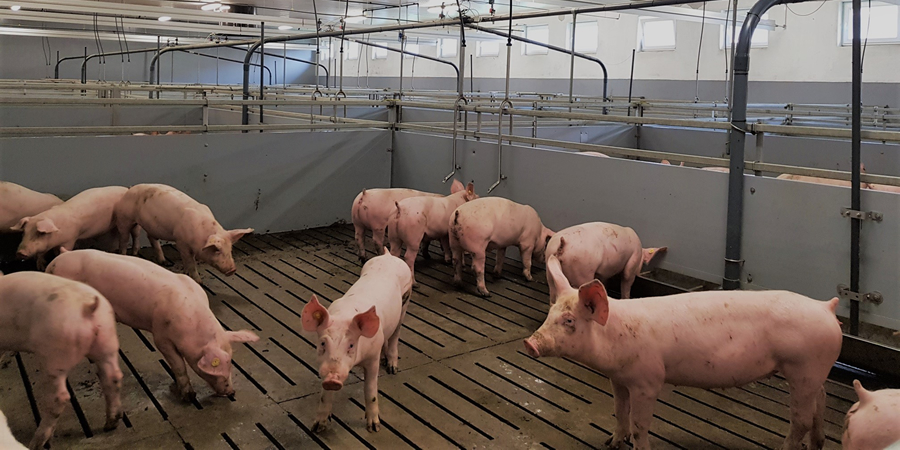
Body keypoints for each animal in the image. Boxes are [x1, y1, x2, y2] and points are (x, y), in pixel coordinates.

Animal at [0, 272, 123, 450]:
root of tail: (88, 306)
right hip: (107, 341)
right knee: (113, 377)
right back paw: (110, 424)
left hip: (55, 355)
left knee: (60, 397)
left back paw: (37, 443)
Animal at [46, 248, 258, 400]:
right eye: (219, 367)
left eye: (232, 361)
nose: (231, 393)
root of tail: (54, 263)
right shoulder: (161, 336)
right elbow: (178, 365)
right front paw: (188, 396)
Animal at [113, 184, 253, 284]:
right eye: (217, 250)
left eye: (230, 249)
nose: (232, 269)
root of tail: (129, 189)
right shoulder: (181, 242)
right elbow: (190, 261)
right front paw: (199, 282)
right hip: (124, 218)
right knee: (124, 237)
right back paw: (124, 254)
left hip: (147, 225)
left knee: (145, 236)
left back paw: (159, 260)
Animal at [301, 248, 412, 433]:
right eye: (323, 343)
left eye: (351, 345)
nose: (332, 378)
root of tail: (388, 255)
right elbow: (324, 396)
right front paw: (317, 427)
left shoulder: (372, 358)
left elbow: (370, 390)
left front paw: (374, 428)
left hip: (405, 302)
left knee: (395, 335)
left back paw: (392, 368)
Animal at [524, 256, 842, 450]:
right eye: (551, 313)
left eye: (569, 321)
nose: (530, 343)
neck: (616, 336)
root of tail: (826, 307)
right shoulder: (618, 379)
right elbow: (619, 411)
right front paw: (610, 442)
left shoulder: (647, 381)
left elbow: (639, 424)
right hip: (813, 373)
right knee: (820, 400)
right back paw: (818, 442)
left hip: (802, 369)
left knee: (800, 419)